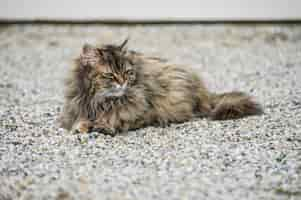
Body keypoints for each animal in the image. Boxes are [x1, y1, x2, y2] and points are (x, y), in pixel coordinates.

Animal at [58, 39, 260, 136]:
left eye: (127, 73)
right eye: (110, 75)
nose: (122, 82)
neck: (102, 101)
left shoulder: (141, 112)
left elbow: (118, 119)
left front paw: (103, 126)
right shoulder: (80, 107)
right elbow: (80, 121)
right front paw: (82, 126)